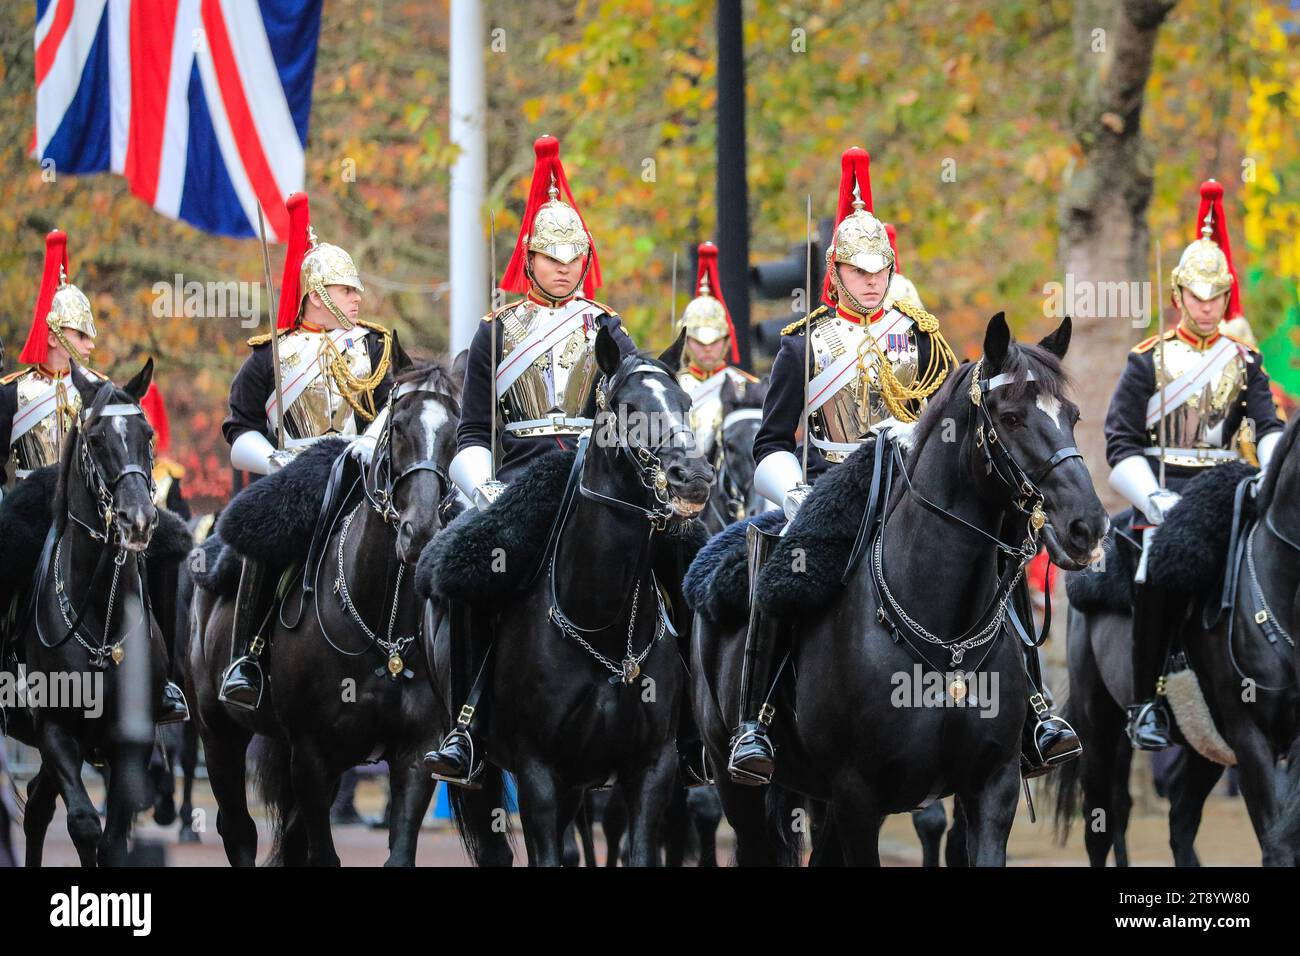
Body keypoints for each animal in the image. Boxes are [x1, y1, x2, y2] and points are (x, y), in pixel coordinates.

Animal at [11, 358, 169, 868]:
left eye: (147, 434)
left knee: (38, 803)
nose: (137, 521)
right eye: (96, 439)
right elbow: (83, 823)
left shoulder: (132, 739)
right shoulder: (56, 730)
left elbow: (114, 838)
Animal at [189, 356, 504, 868]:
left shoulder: (413, 754)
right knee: (237, 830)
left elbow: (397, 853)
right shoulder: (310, 755)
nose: (419, 532)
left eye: (456, 432)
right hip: (218, 732)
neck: (380, 628)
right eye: (397, 426)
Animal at [434, 329, 717, 868]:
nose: (693, 477)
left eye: (686, 403)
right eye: (628, 408)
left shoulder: (652, 768)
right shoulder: (539, 773)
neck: (603, 626)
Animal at [696, 316, 1102, 868]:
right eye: (1013, 417)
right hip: (737, 783)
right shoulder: (857, 796)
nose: (1088, 527)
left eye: (1073, 416)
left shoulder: (992, 787)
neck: (945, 635)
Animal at [1060, 416, 1300, 863]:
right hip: (1098, 726)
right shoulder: (1250, 738)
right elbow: (1277, 843)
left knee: (1179, 818)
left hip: (1200, 742)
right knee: (1102, 821)